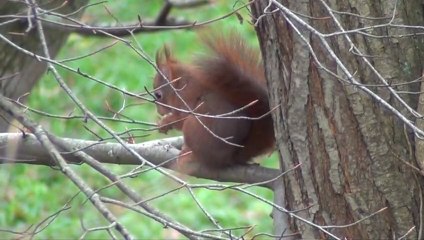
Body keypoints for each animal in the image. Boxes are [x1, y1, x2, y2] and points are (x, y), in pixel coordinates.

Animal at [152, 32, 274, 169]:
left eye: (158, 95)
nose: (159, 112)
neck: (180, 84)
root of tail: (230, 158)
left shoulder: (187, 96)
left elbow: (181, 119)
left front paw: (165, 121)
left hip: (194, 127)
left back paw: (189, 154)